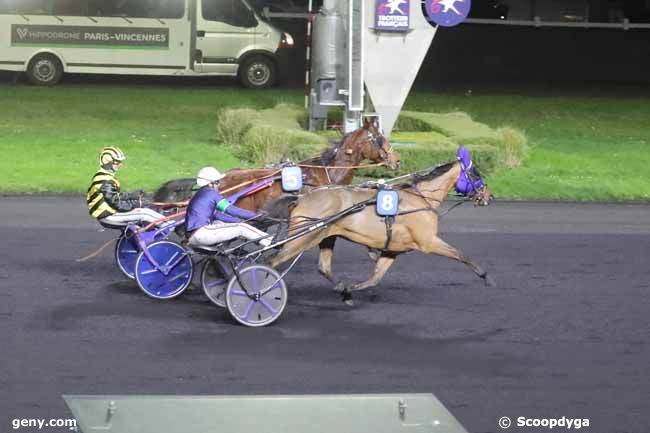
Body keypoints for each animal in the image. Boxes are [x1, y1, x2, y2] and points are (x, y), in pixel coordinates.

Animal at [268, 156, 492, 304]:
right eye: (476, 173)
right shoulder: (428, 241)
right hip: (303, 237)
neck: (420, 199)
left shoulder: (393, 248)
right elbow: (460, 255)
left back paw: (342, 290)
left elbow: (375, 277)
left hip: (326, 235)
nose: (488, 196)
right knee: (271, 261)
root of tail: (301, 197)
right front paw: (485, 276)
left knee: (323, 267)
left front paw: (349, 289)